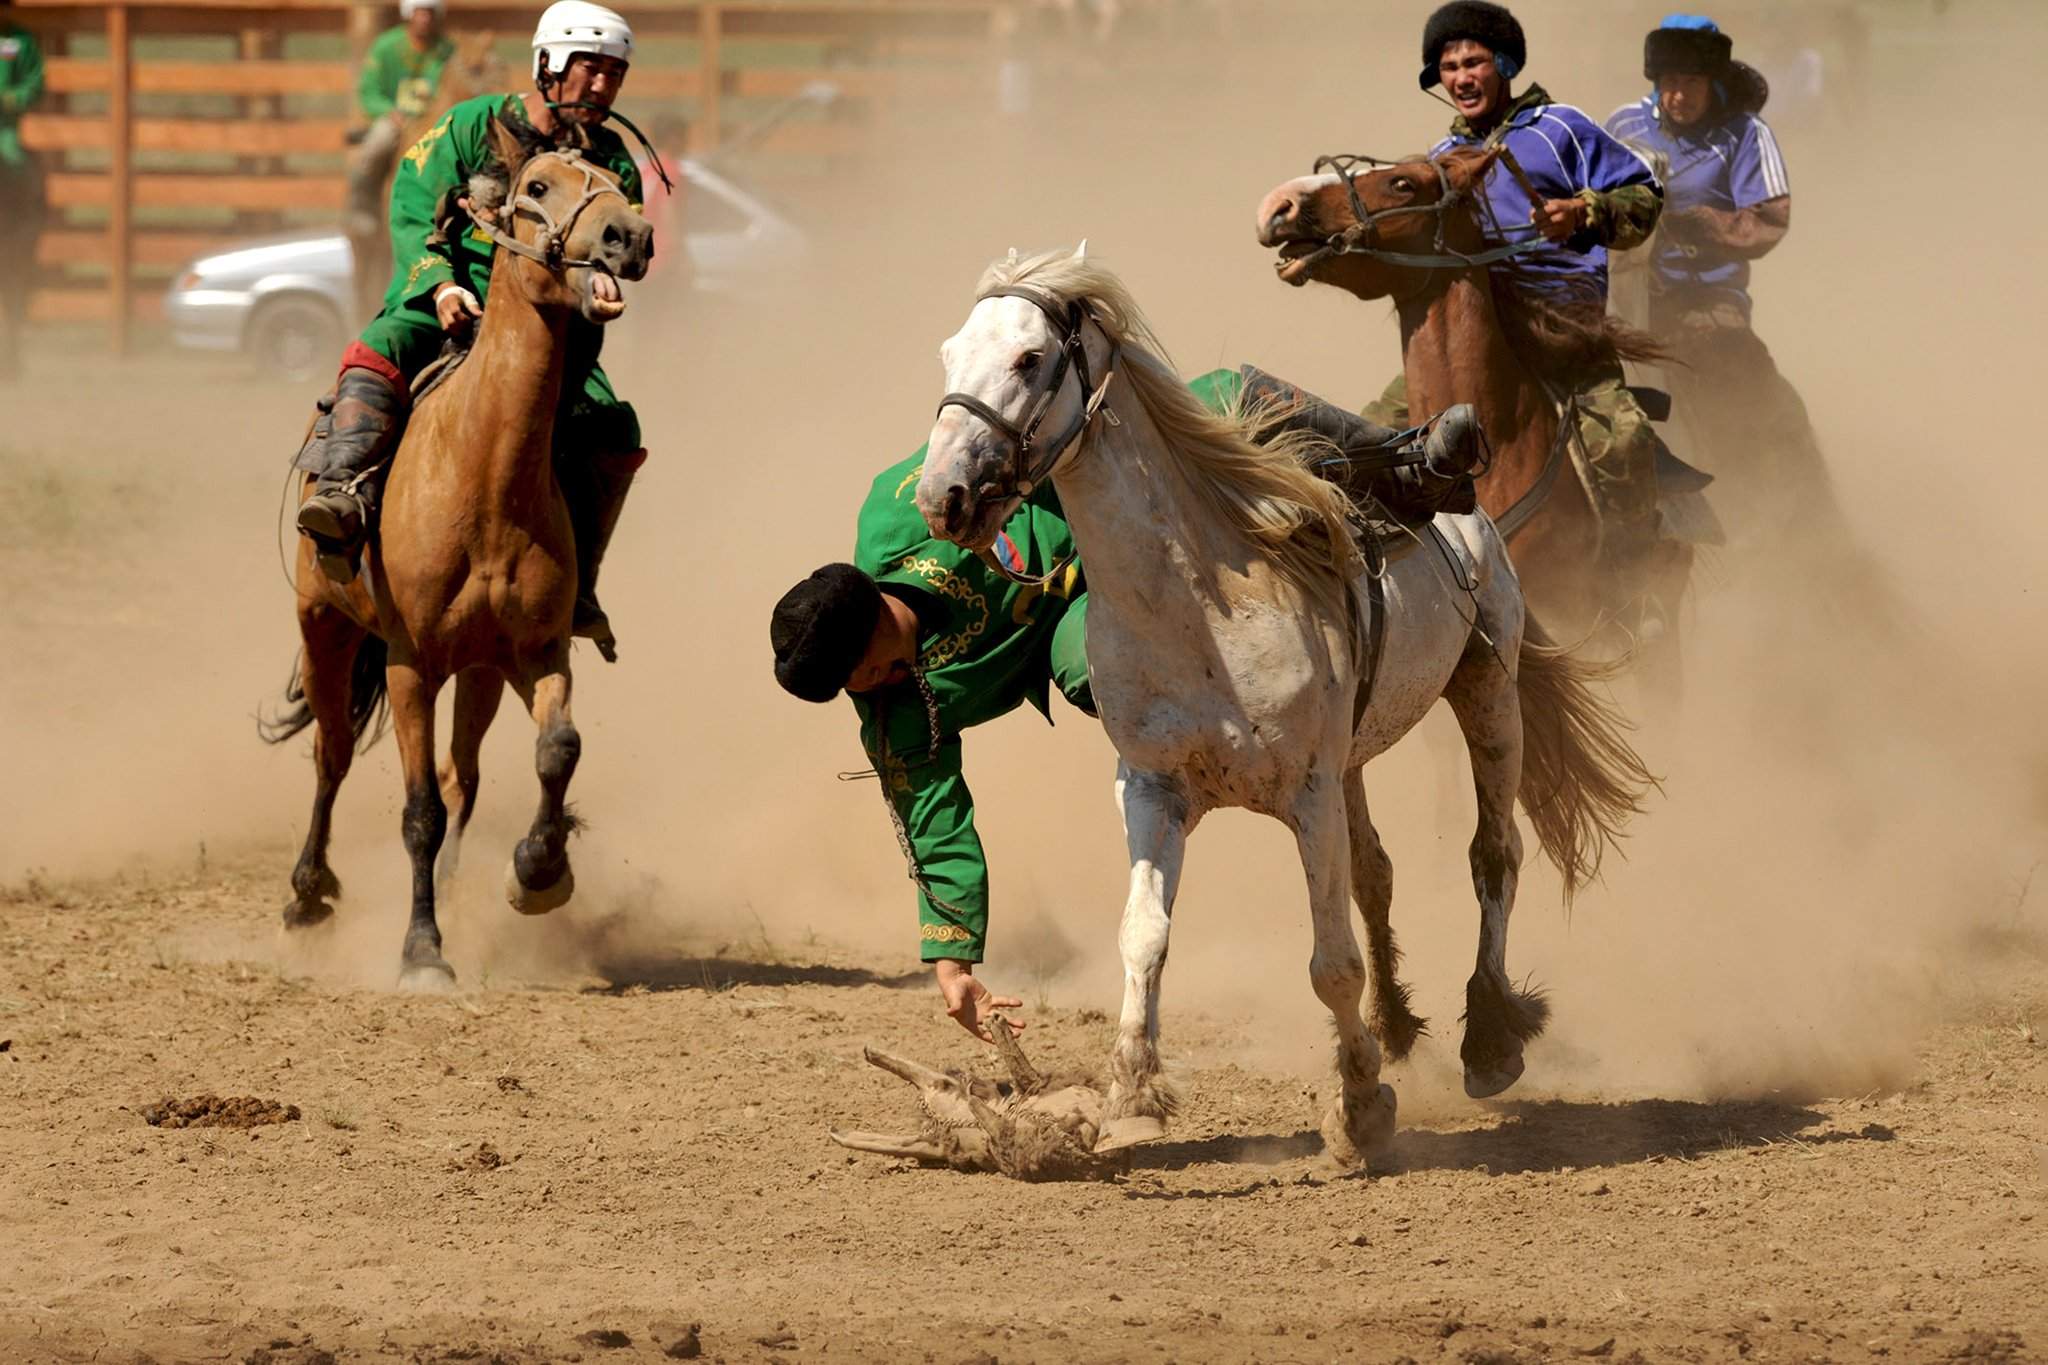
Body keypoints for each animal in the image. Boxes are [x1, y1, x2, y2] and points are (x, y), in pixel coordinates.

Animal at [262, 114, 647, 994]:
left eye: (618, 184)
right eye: (536, 187)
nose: (628, 238)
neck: (486, 481)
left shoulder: (537, 653)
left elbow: (556, 750)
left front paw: (539, 871)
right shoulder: (411, 665)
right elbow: (417, 812)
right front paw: (421, 950)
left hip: (481, 673)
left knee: (460, 774)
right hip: (326, 625)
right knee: (332, 755)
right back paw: (308, 893)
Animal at [921, 245, 1654, 1162]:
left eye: (1028, 358)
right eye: (949, 355)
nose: (941, 493)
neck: (1201, 605)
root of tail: (1480, 519)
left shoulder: (1307, 794)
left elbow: (1329, 963)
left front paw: (1359, 1106)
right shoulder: (1152, 789)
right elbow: (1143, 935)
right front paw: (1132, 1093)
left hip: (1488, 691)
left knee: (1495, 854)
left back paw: (1487, 1038)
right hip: (1354, 761)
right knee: (1376, 874)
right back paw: (1397, 1022)